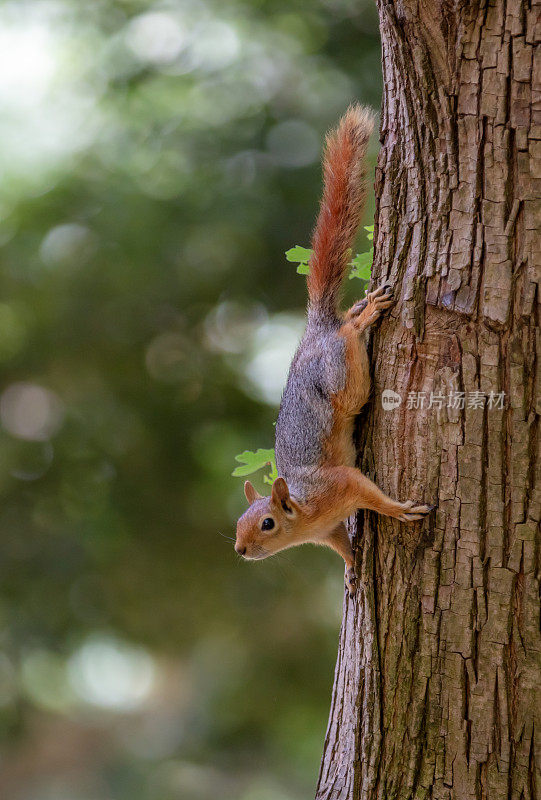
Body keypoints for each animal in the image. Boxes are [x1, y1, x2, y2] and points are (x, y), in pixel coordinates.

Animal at [234, 104, 432, 592]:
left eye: (266, 523)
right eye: (238, 524)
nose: (240, 550)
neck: (306, 516)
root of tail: (316, 331)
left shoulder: (342, 483)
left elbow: (370, 493)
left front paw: (399, 510)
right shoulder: (329, 530)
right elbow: (343, 546)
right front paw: (352, 567)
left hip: (344, 373)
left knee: (349, 337)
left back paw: (362, 317)